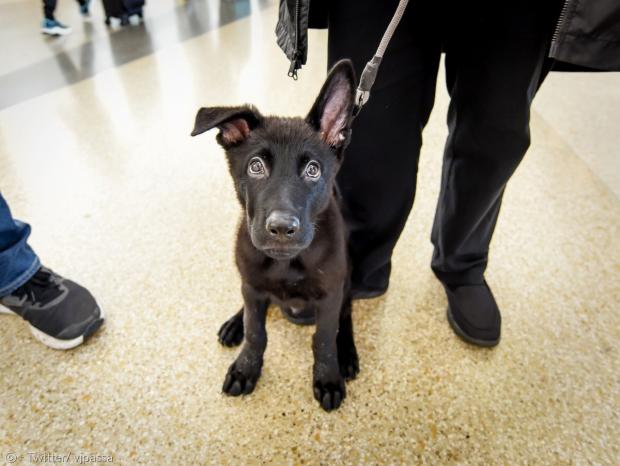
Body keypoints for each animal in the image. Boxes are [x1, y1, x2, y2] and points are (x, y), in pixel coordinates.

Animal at [193, 60, 358, 410]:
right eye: (255, 166)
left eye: (313, 170)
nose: (282, 228)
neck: (286, 263)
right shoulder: (253, 287)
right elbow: (256, 331)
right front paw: (246, 368)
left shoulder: (330, 295)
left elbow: (324, 338)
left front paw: (328, 376)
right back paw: (234, 324)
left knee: (347, 313)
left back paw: (348, 353)